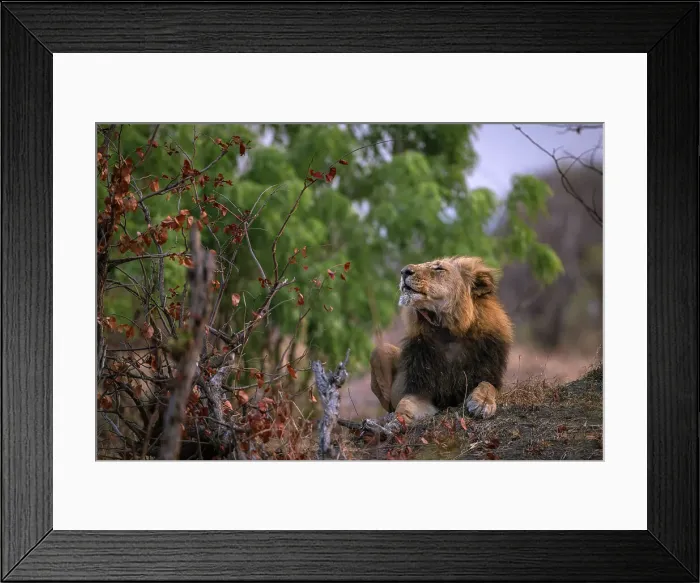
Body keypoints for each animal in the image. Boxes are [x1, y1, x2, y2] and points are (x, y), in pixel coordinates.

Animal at [370, 256, 514, 425]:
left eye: (439, 268)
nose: (404, 271)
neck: (447, 331)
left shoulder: (489, 373)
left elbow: (487, 385)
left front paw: (482, 403)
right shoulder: (421, 390)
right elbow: (406, 403)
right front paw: (400, 418)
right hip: (380, 351)